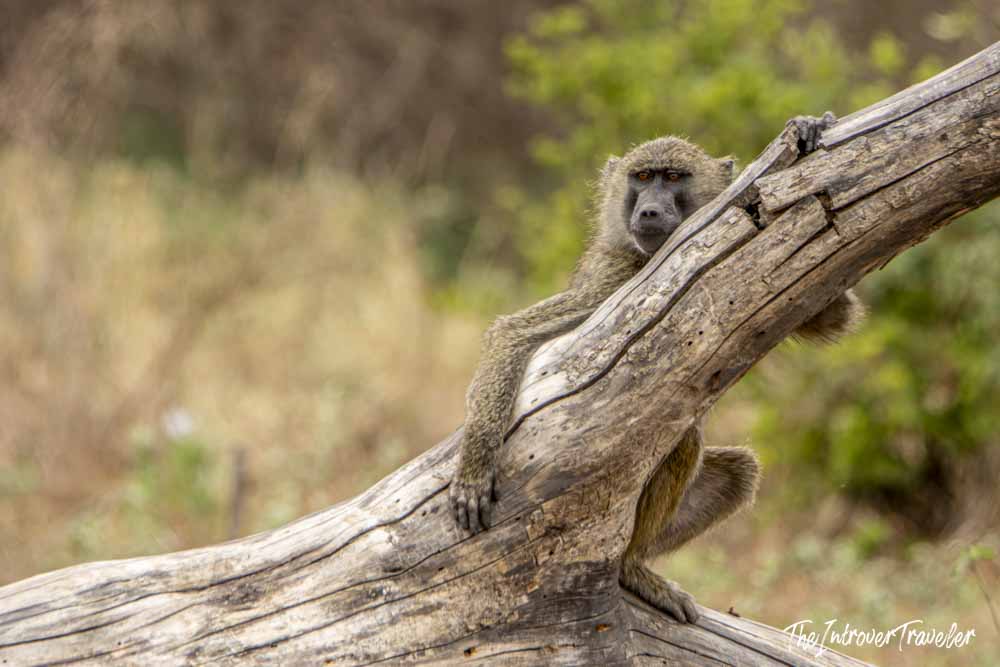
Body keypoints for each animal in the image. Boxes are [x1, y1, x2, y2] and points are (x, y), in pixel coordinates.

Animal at [450, 114, 864, 623]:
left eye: (673, 178)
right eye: (643, 177)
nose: (648, 212)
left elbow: (830, 314)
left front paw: (808, 130)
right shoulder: (612, 278)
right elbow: (512, 332)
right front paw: (474, 467)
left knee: (727, 468)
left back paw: (631, 566)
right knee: (682, 441)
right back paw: (630, 569)